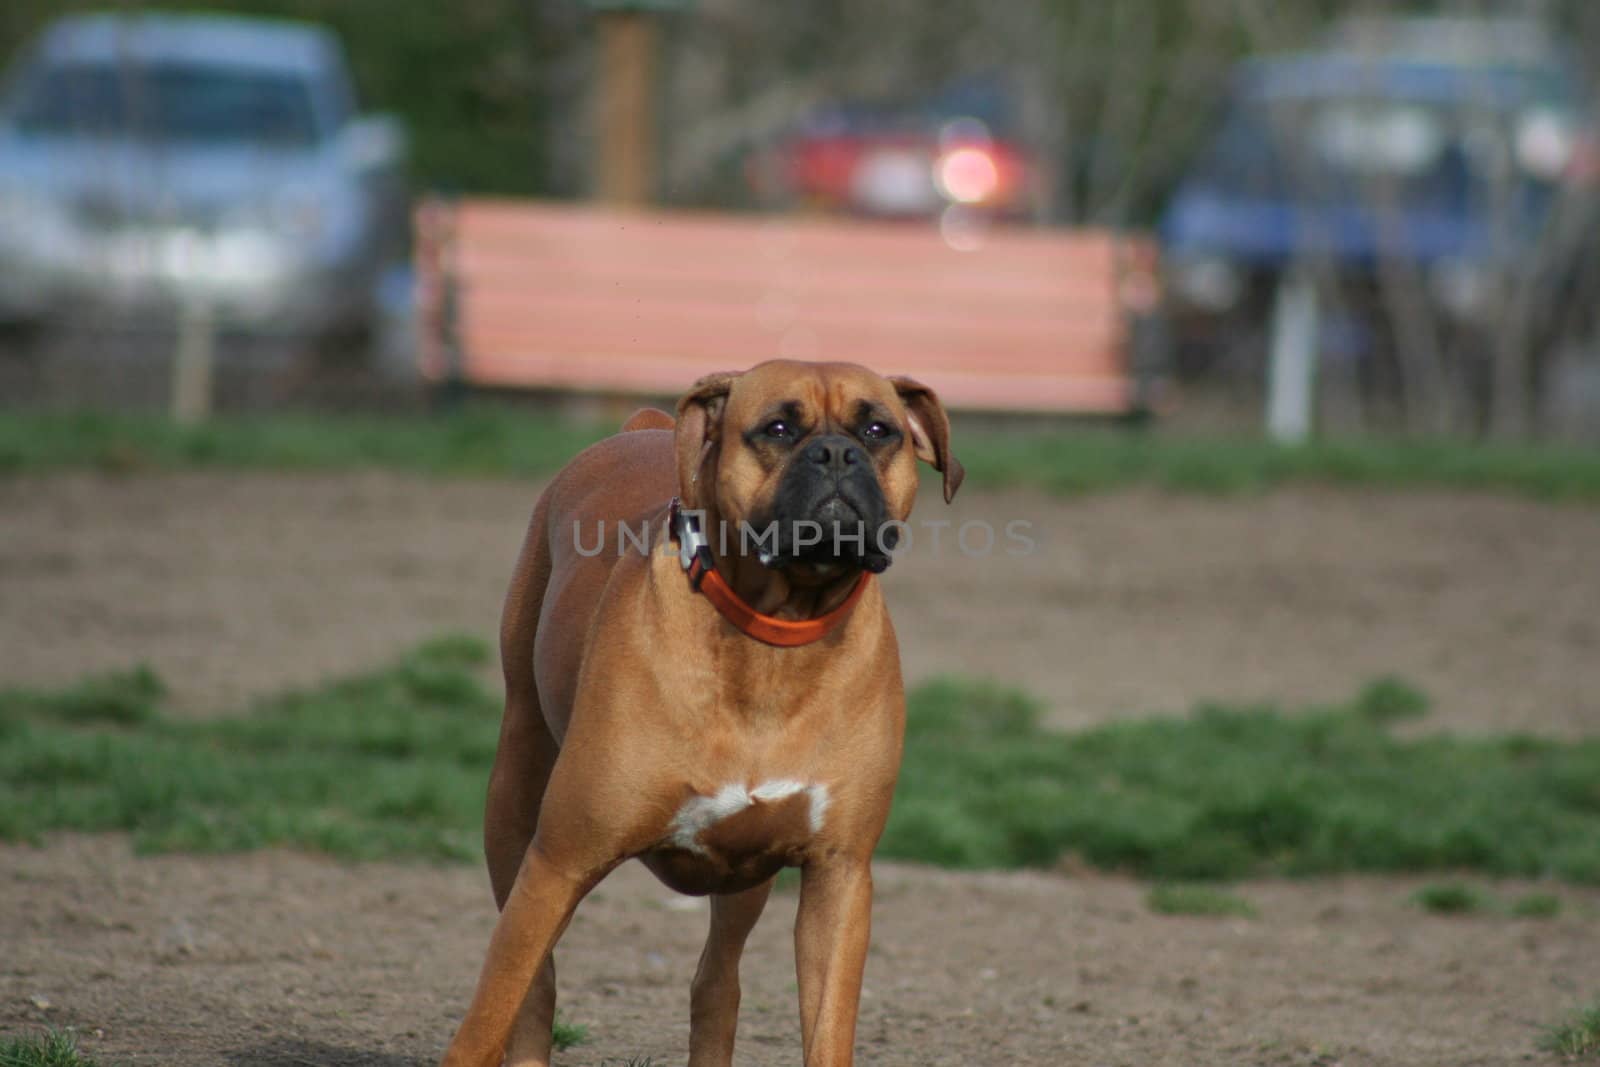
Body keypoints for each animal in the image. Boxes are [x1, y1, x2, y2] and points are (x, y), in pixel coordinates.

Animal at [438, 361, 960, 1067]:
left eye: (878, 430)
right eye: (777, 428)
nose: (835, 453)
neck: (775, 634)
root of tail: (641, 429)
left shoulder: (839, 877)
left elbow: (825, 1027)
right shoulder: (559, 863)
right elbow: (491, 1011)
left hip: (746, 879)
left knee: (717, 980)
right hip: (515, 801)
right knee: (535, 984)